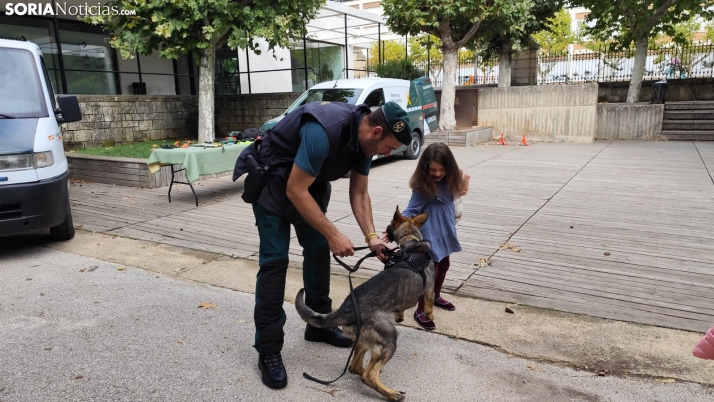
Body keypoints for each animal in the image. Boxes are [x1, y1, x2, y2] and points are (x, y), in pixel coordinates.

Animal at [294, 209, 434, 400]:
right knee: (368, 375)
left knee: (355, 367)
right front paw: (429, 316)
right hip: (388, 339)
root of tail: (345, 310)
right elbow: (429, 305)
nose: (385, 231)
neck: (409, 241)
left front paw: (400, 315)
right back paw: (391, 393)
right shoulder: (429, 290)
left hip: (363, 340)